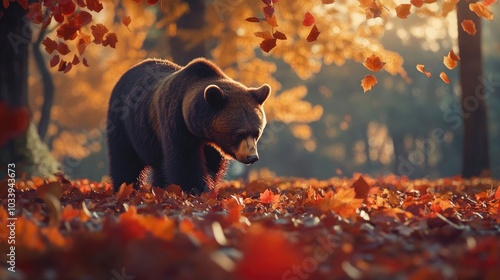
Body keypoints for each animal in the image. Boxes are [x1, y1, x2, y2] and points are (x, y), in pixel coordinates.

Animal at [105, 58, 270, 194]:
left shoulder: (210, 144)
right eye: (238, 133)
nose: (252, 157)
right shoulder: (176, 122)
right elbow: (185, 160)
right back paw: (125, 188)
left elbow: (212, 164)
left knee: (160, 165)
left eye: (256, 132)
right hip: (124, 123)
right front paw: (196, 189)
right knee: (125, 159)